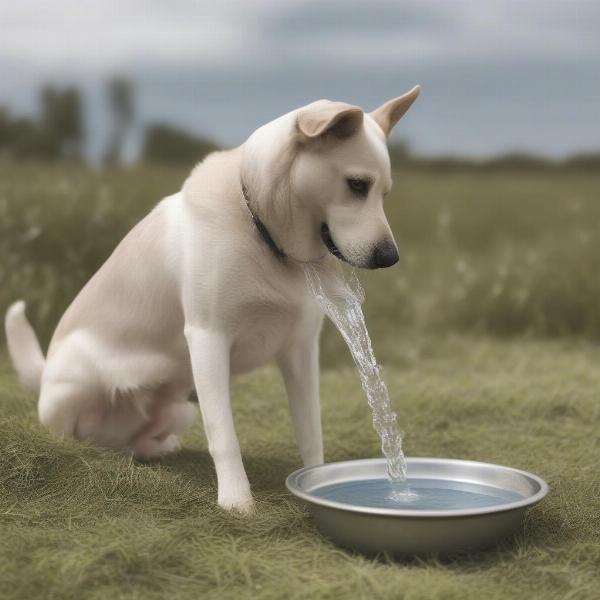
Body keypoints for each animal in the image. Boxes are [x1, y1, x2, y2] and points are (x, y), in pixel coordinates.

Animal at [4, 86, 420, 512]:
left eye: (385, 193)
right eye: (357, 185)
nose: (390, 257)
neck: (261, 230)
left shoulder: (301, 348)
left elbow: (310, 430)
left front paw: (316, 484)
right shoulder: (208, 338)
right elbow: (223, 434)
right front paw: (237, 502)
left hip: (180, 410)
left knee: (134, 442)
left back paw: (151, 448)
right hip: (74, 388)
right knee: (78, 435)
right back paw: (88, 451)